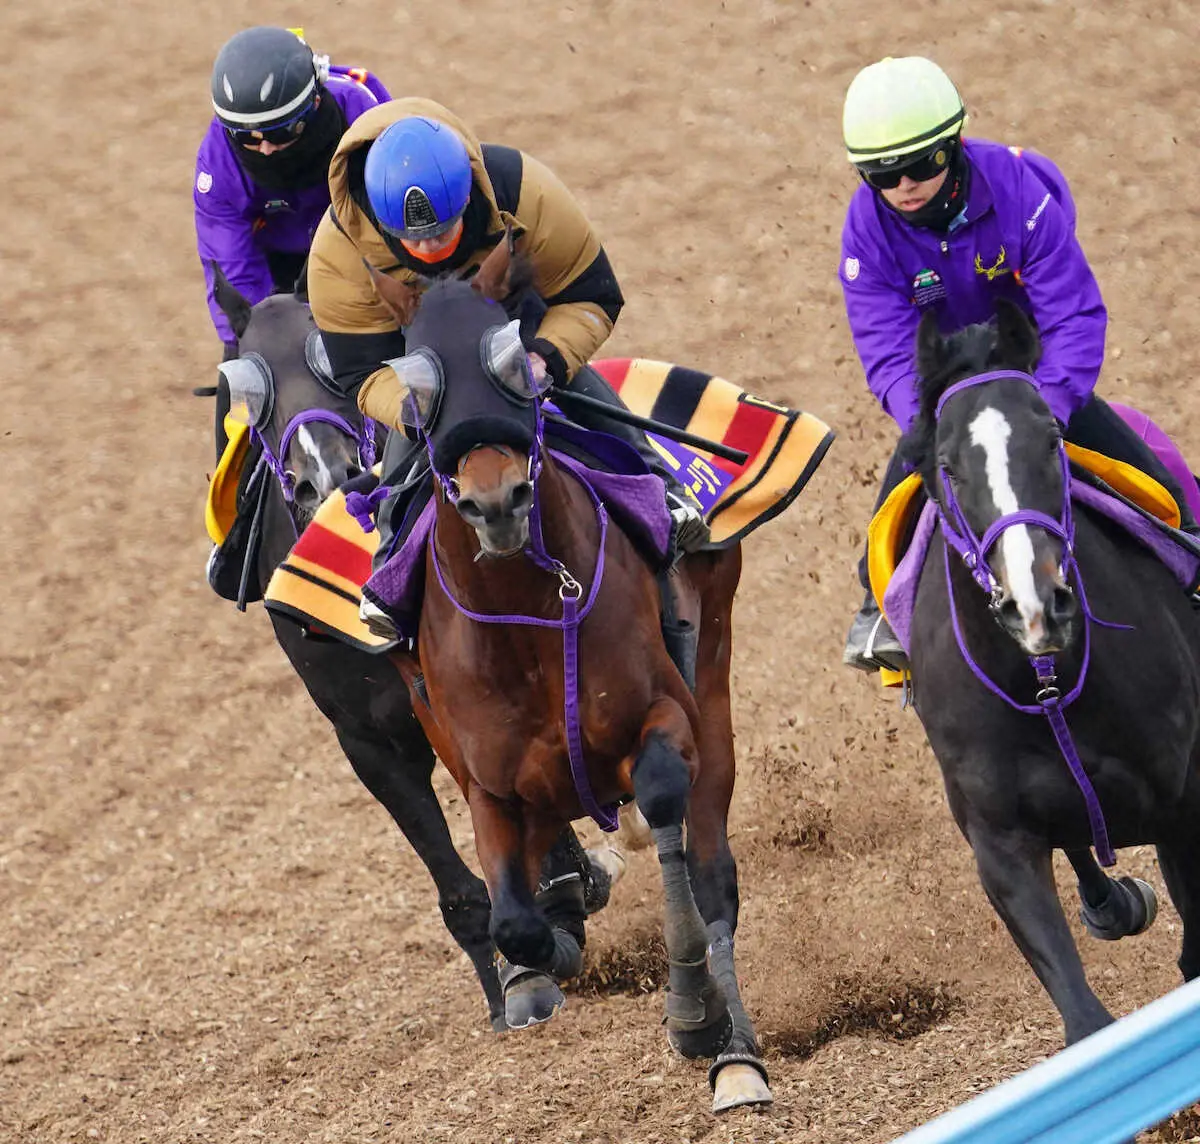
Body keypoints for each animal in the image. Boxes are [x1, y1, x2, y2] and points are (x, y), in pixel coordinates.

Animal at [208, 269, 615, 1032]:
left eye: (327, 363)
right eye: (248, 392)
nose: (323, 475)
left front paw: (568, 897)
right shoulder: (367, 740)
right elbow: (461, 889)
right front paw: (509, 989)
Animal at [365, 238, 773, 1113]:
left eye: (516, 364)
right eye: (419, 388)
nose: (496, 501)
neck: (526, 619)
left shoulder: (665, 718)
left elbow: (664, 800)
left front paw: (694, 1014)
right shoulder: (488, 783)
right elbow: (515, 920)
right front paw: (540, 965)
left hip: (715, 664)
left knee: (713, 869)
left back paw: (737, 1056)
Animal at [900, 298, 1200, 1048]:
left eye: (1052, 438)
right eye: (949, 464)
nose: (1038, 603)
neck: (1045, 681)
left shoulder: (1185, 800)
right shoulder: (1000, 844)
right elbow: (1086, 1021)